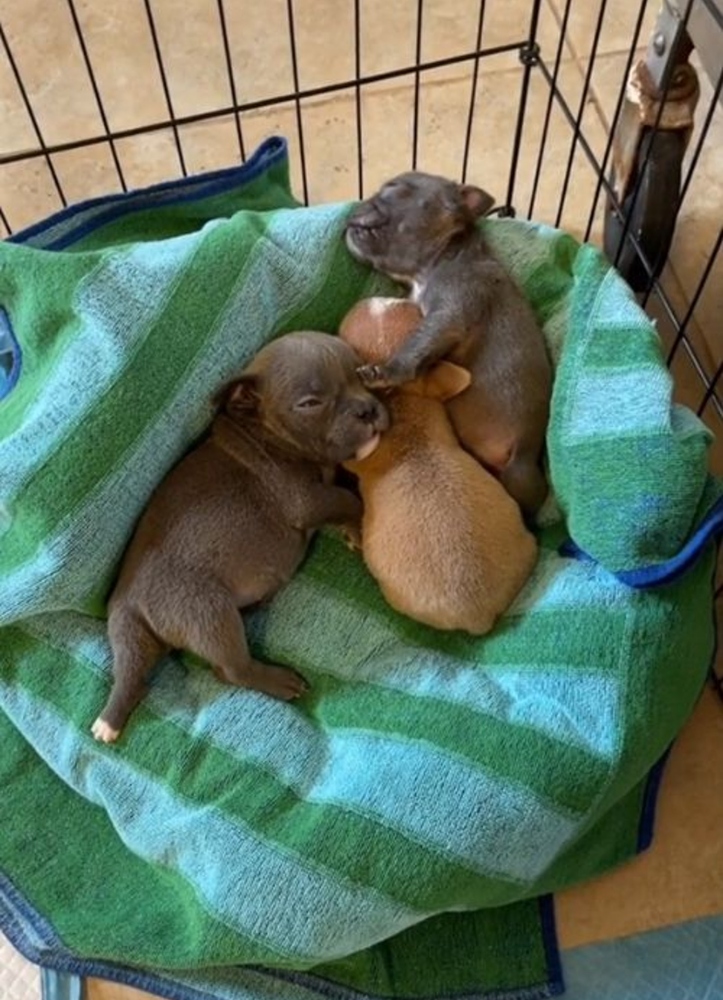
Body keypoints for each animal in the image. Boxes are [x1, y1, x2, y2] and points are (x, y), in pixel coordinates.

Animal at [91, 331, 388, 743]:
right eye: (310, 403)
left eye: (361, 374)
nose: (368, 410)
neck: (266, 432)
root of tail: (127, 603)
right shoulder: (304, 499)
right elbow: (348, 499)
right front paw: (360, 523)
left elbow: (343, 496)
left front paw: (351, 531)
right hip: (209, 612)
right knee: (231, 669)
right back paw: (278, 680)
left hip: (146, 630)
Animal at [345, 171, 552, 517]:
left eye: (396, 189)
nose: (357, 205)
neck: (441, 258)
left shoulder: (450, 315)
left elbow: (416, 346)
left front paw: (384, 373)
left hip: (519, 474)